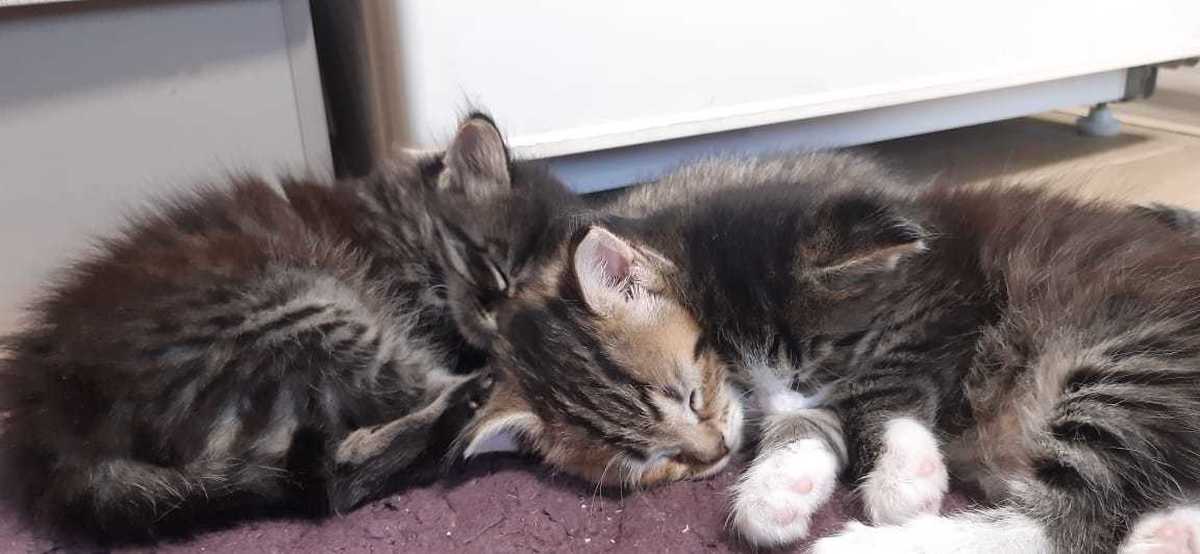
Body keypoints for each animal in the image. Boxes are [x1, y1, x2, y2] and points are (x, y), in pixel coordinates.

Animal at [0, 114, 585, 542]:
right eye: (495, 268)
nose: (497, 325)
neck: (403, 223)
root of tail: (53, 430)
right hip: (302, 307)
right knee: (347, 459)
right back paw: (475, 399)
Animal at [550, 152, 1200, 554]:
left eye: (816, 358)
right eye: (733, 376)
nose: (782, 406)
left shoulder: (952, 308)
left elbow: (880, 382)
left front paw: (904, 472)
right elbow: (811, 420)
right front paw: (779, 487)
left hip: (1128, 358)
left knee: (1064, 525)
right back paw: (1169, 535)